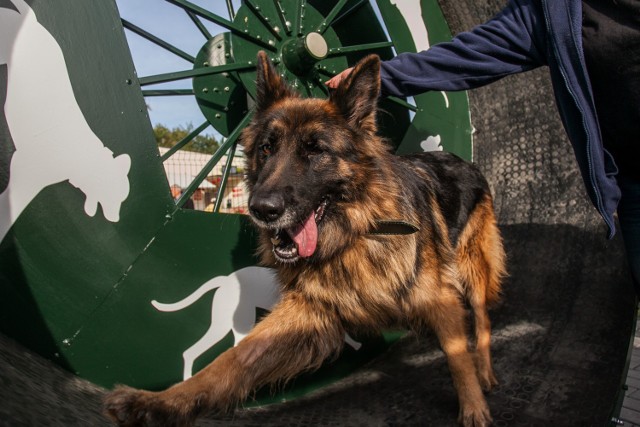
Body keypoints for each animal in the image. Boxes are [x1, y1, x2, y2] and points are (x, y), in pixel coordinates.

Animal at [104, 51, 504, 426]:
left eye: (315, 150)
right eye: (266, 148)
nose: (261, 209)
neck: (354, 236)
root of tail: (462, 160)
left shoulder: (441, 299)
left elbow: (457, 357)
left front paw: (473, 407)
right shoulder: (309, 310)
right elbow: (234, 358)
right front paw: (160, 401)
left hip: (473, 267)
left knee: (482, 318)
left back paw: (485, 373)